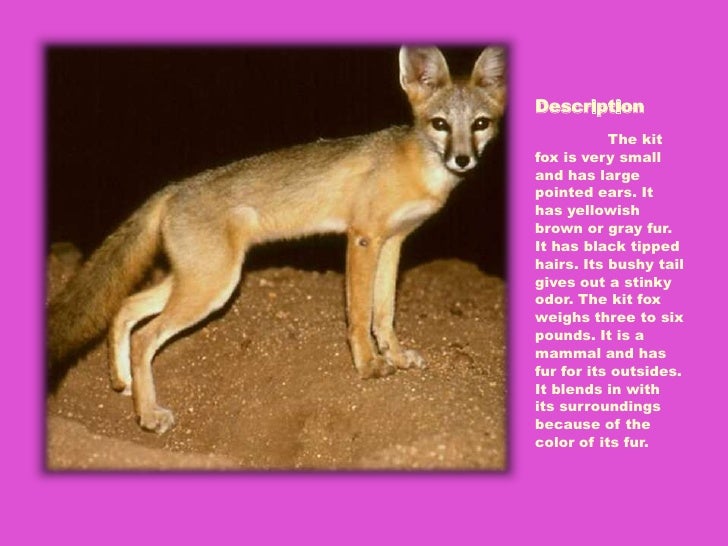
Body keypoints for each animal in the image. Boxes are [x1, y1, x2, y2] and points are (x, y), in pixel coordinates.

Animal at [47, 46, 506, 433]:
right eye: (440, 125)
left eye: (480, 124)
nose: (462, 159)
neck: (419, 169)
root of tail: (174, 188)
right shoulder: (363, 239)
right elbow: (360, 316)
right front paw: (368, 366)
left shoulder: (393, 244)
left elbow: (384, 314)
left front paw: (394, 357)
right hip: (212, 287)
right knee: (145, 336)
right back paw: (148, 415)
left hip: (199, 281)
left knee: (125, 307)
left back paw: (121, 380)